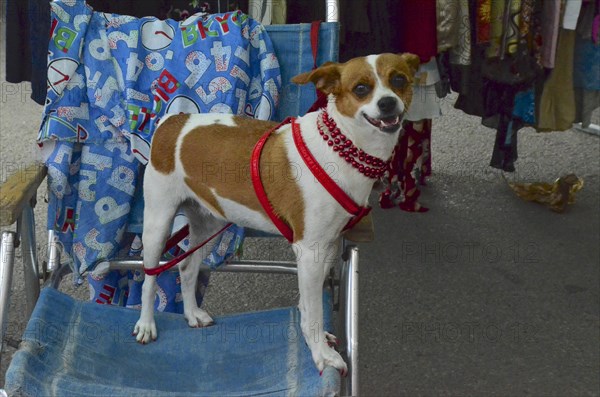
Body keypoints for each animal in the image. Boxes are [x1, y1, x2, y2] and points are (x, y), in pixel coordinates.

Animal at [134, 51, 420, 372]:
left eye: (399, 80)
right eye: (361, 88)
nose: (388, 103)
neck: (341, 149)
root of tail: (173, 120)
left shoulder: (326, 246)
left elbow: (308, 306)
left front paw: (312, 339)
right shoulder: (308, 250)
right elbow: (314, 311)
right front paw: (322, 354)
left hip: (208, 224)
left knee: (187, 266)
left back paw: (192, 313)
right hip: (158, 223)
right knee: (149, 276)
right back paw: (146, 324)